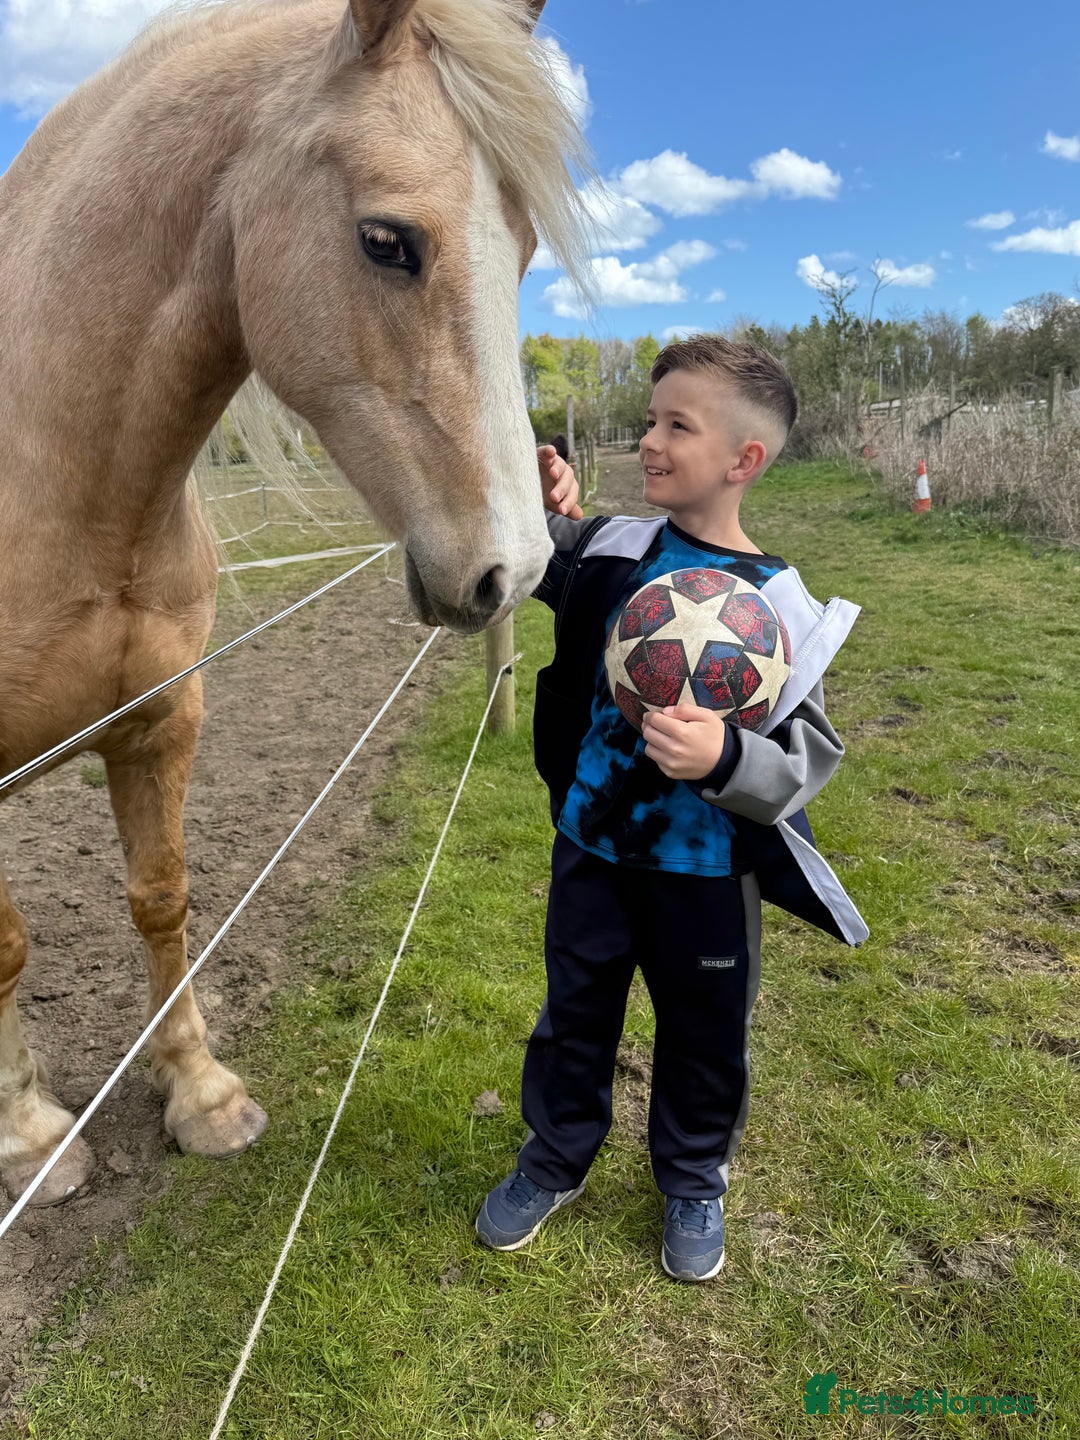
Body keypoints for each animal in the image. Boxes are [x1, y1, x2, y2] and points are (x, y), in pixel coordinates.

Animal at [0, 0, 587, 1205]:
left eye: (523, 251)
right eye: (387, 240)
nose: (514, 570)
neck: (59, 488)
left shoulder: (160, 720)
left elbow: (162, 897)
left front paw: (198, 1091)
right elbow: (7, 946)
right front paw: (31, 1139)